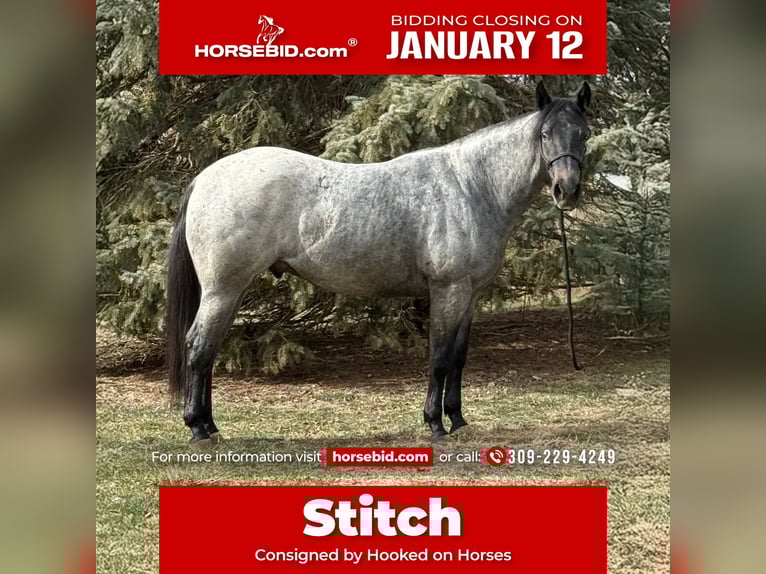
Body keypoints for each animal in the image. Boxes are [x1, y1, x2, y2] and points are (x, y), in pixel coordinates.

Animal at [166, 81, 592, 445]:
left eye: (583, 134)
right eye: (545, 135)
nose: (566, 190)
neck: (471, 185)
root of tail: (204, 178)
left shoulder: (469, 296)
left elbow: (458, 359)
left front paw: (458, 420)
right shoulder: (448, 291)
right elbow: (439, 357)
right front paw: (435, 424)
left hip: (231, 292)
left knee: (209, 350)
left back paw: (210, 425)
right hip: (223, 289)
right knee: (198, 347)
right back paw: (199, 429)